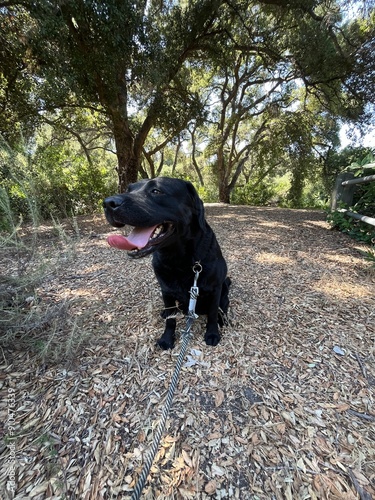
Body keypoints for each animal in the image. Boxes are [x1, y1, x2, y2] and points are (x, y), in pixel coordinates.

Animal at [104, 178, 231, 350]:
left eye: (156, 191)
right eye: (128, 190)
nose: (107, 203)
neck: (179, 259)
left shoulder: (215, 289)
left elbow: (211, 314)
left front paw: (212, 333)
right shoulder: (166, 290)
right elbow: (171, 319)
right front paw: (167, 338)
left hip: (224, 291)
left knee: (222, 307)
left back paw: (222, 319)